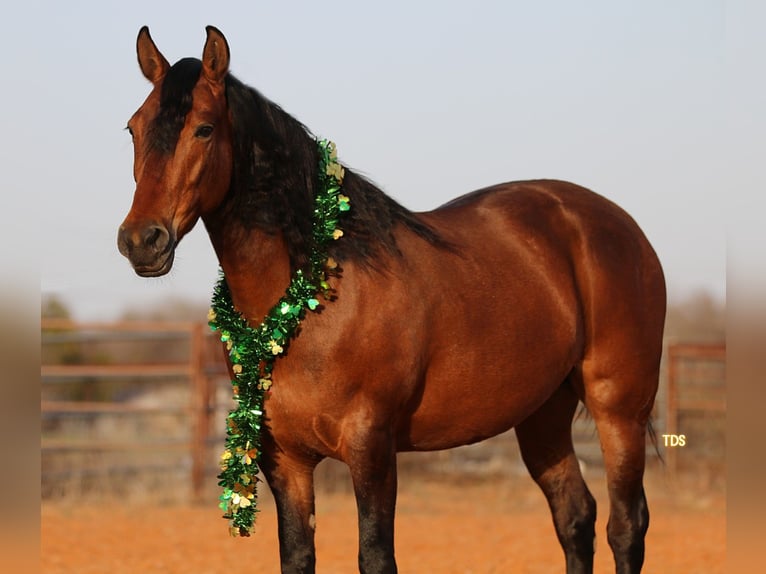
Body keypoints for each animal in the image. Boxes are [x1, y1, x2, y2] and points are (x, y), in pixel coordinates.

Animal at [118, 27, 664, 574]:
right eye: (133, 129)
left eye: (204, 129)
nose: (141, 240)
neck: (310, 301)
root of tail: (619, 225)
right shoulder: (285, 459)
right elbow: (297, 555)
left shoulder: (372, 447)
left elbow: (376, 555)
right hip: (543, 412)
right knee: (575, 516)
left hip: (619, 410)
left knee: (626, 525)